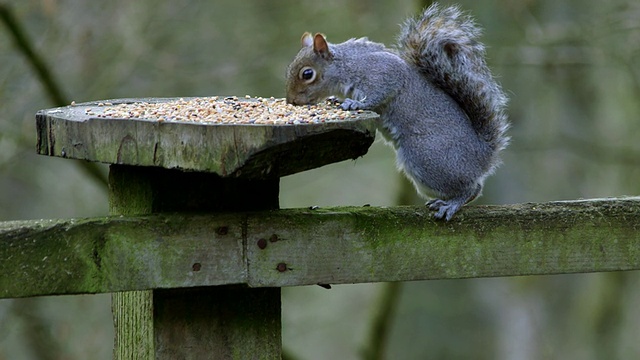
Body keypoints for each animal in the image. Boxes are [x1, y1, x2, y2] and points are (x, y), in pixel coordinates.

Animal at [284, 4, 510, 221]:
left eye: (307, 74)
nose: (292, 101)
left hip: (427, 157)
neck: (345, 66)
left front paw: (354, 104)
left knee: (472, 188)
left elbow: (379, 94)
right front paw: (336, 100)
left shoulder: (384, 72)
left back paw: (452, 205)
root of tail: (482, 155)